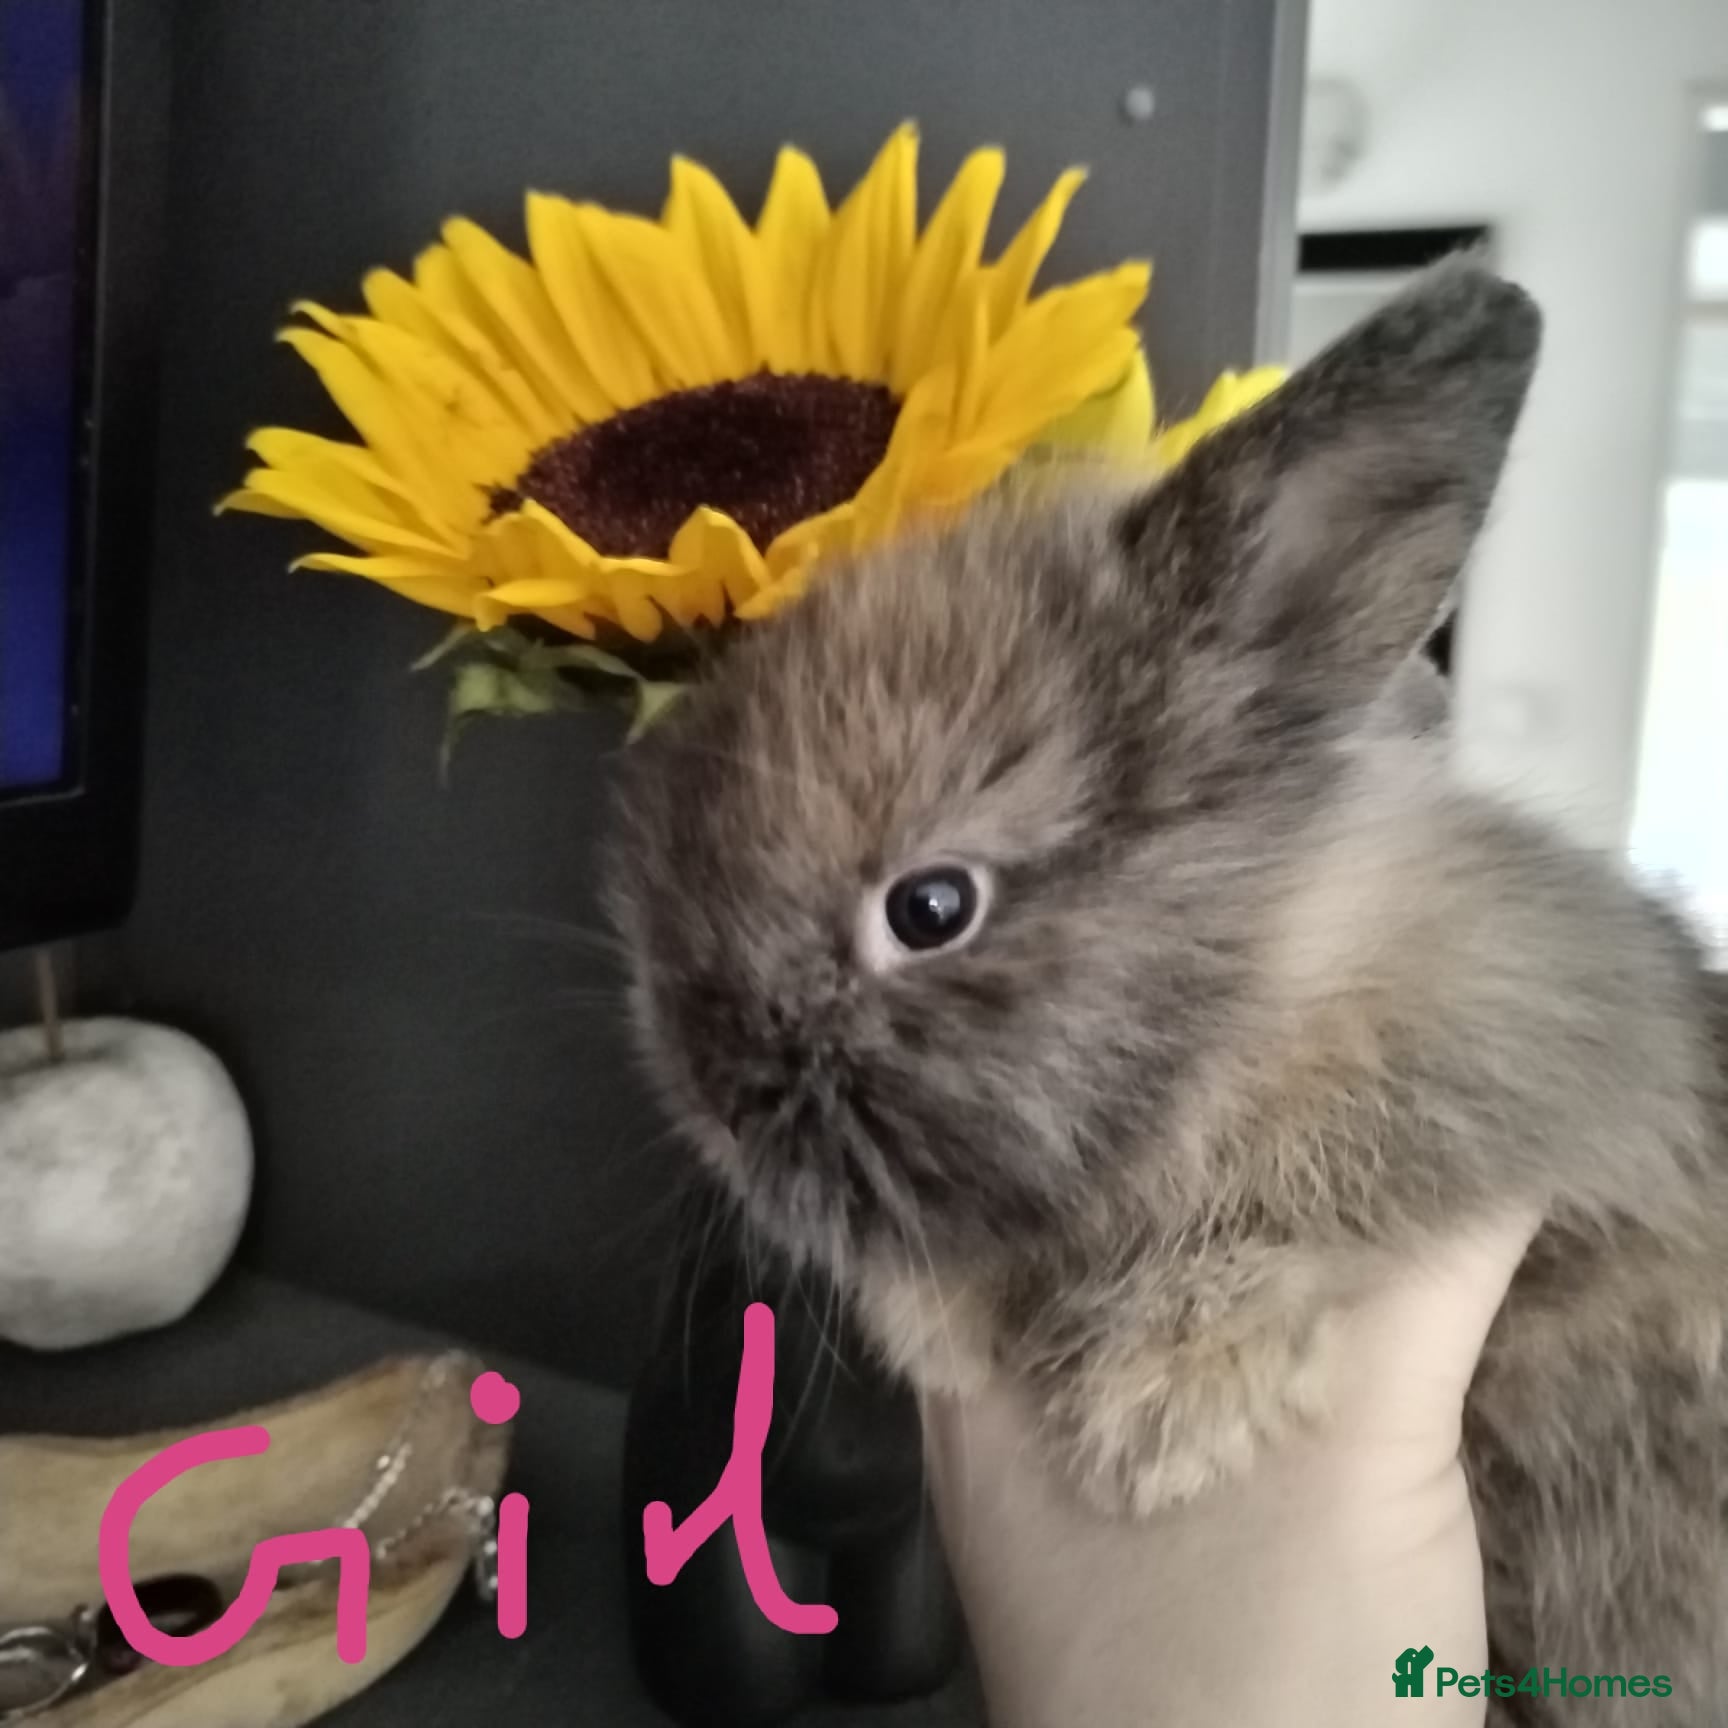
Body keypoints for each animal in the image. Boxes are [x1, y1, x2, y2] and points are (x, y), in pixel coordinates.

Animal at [606, 260, 1728, 1725]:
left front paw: (1151, 1416)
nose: (708, 1098)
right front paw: (946, 1329)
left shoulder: (1525, 1084)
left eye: (931, 908)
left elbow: (1320, 1210)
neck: (1261, 976)